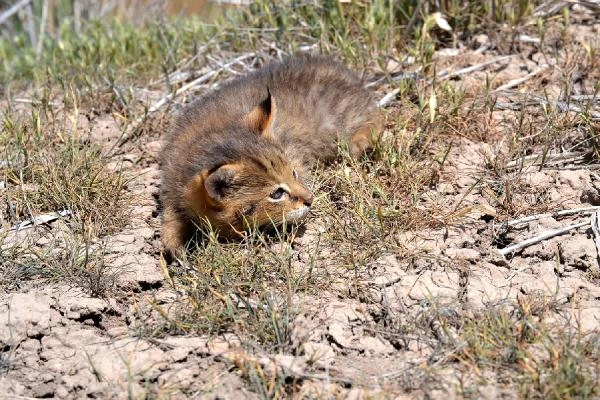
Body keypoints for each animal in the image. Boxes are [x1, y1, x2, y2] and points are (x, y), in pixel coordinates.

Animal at [161, 54, 380, 253]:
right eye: (276, 194)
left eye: (294, 174)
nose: (310, 198)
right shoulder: (172, 177)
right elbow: (170, 212)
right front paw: (173, 244)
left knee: (379, 117)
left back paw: (358, 143)